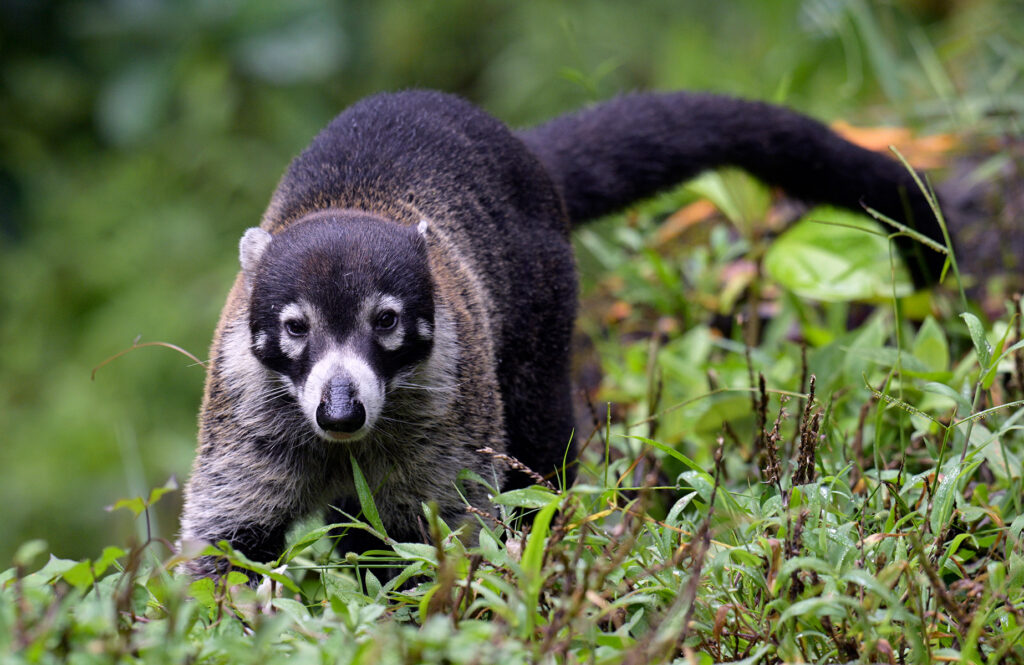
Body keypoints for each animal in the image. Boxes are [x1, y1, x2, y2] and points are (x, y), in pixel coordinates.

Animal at [178, 90, 946, 578]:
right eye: (295, 328)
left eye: (386, 320)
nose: (341, 411)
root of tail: (523, 149)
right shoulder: (245, 409)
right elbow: (225, 536)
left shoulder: (450, 403)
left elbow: (445, 529)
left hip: (543, 310)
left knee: (542, 440)